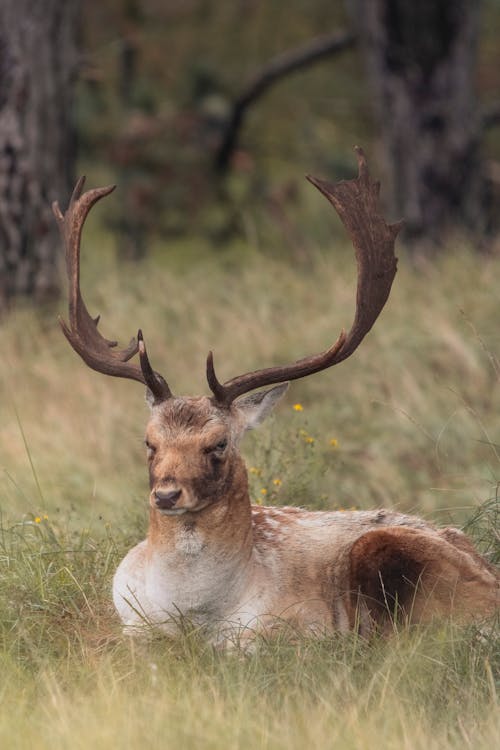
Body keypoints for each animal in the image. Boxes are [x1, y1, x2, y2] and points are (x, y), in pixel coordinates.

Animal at [52, 148, 498, 648]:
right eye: (149, 442)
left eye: (218, 444)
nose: (166, 494)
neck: (192, 618)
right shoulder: (128, 620)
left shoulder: (288, 630)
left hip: (395, 557)